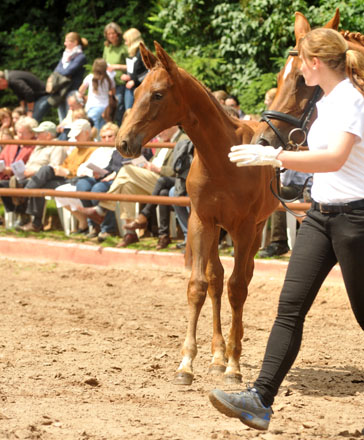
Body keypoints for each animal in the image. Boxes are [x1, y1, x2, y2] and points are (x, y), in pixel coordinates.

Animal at [116, 43, 278, 384]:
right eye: (135, 91)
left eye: (158, 94)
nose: (123, 142)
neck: (222, 159)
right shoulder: (201, 221)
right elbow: (199, 286)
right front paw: (187, 364)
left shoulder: (244, 228)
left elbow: (237, 288)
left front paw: (234, 366)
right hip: (218, 229)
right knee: (216, 279)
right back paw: (217, 356)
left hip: (255, 231)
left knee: (242, 279)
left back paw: (231, 350)